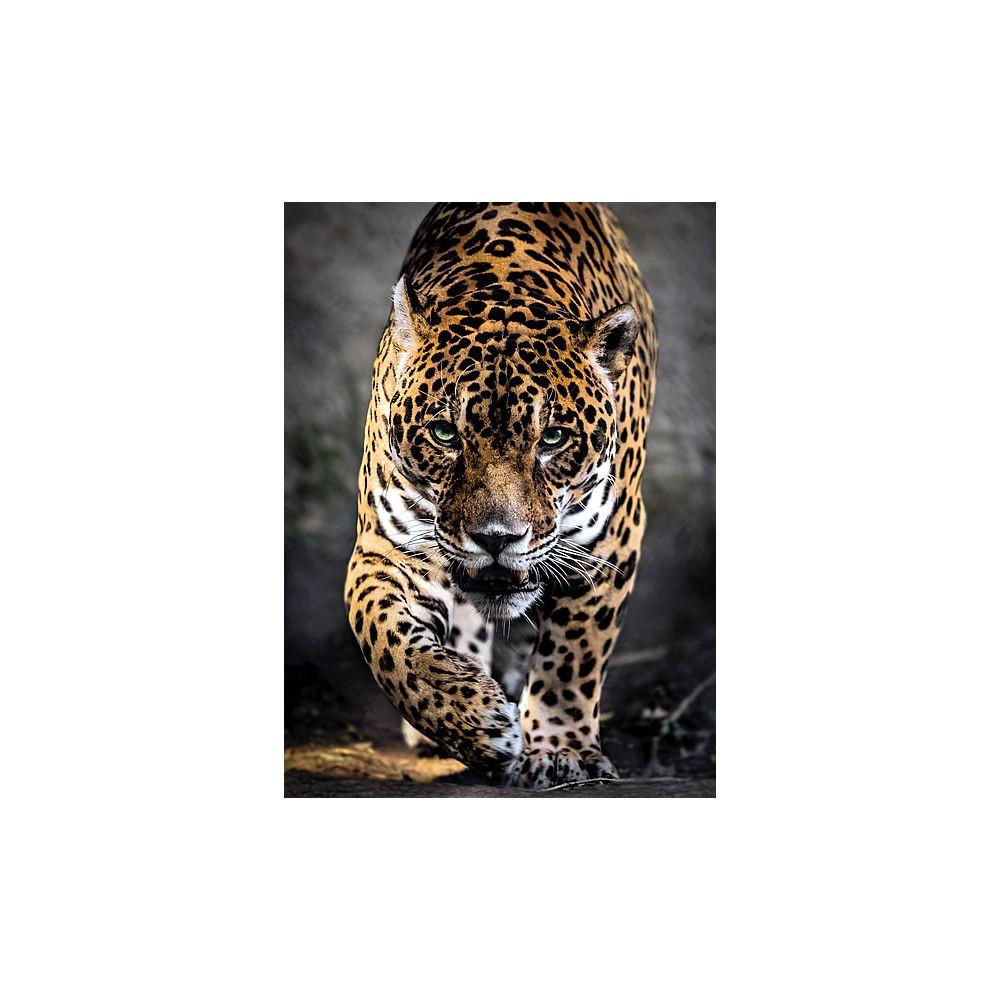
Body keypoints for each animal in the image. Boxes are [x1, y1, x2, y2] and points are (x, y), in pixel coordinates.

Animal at [344, 202, 657, 789]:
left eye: (552, 438)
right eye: (445, 433)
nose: (496, 538)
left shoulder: (609, 543)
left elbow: (572, 656)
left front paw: (560, 750)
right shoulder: (386, 546)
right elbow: (384, 638)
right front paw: (474, 721)